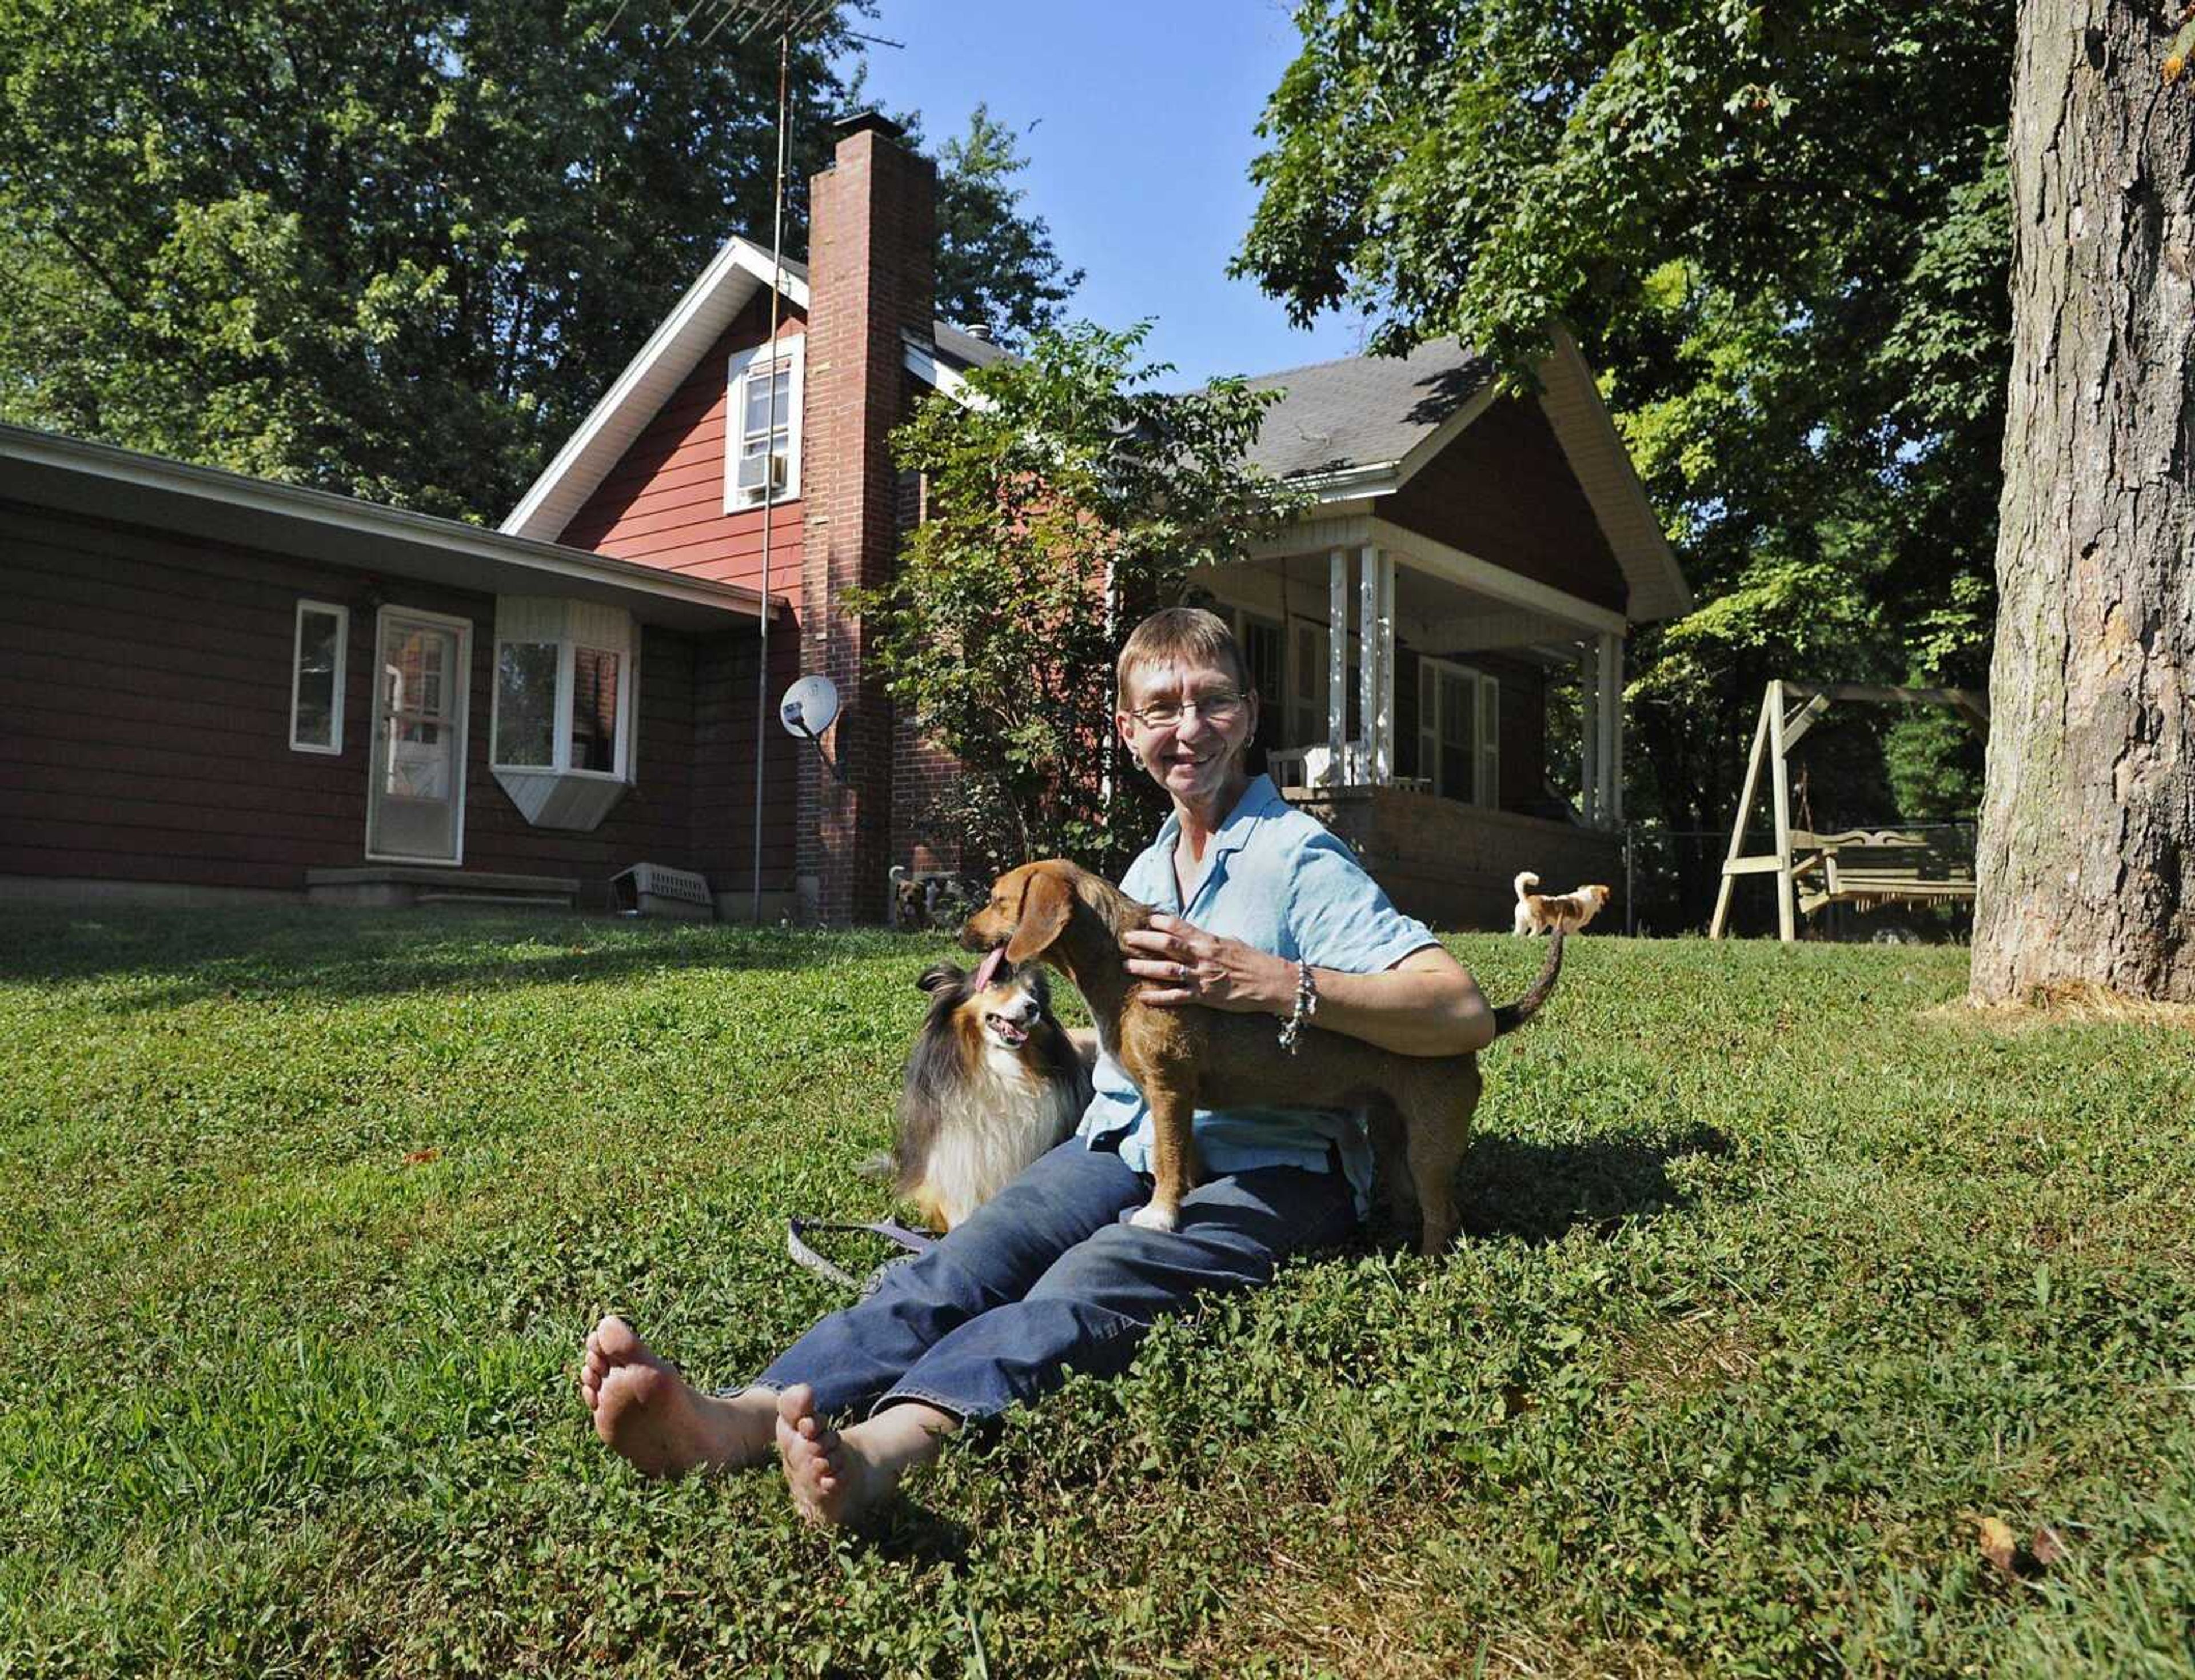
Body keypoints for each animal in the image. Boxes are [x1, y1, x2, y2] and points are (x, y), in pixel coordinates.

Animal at [961, 856, 1563, 1256]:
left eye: (996, 899)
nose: (960, 932)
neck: (1121, 964)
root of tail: (1489, 1020)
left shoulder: (1169, 1088)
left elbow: (1167, 1159)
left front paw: (1161, 1214)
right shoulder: (1177, 1100)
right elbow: (1182, 1157)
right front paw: (1184, 1193)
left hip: (1431, 1144)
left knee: (1443, 1215)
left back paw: (1426, 1267)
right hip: (1393, 1134)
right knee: (1417, 1200)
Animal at [1510, 869, 1615, 935]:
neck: (1588, 898)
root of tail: (1526, 899)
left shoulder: (1571, 928)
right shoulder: (1571, 927)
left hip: (1521, 925)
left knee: (1517, 935)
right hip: (1540, 924)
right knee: (1531, 936)